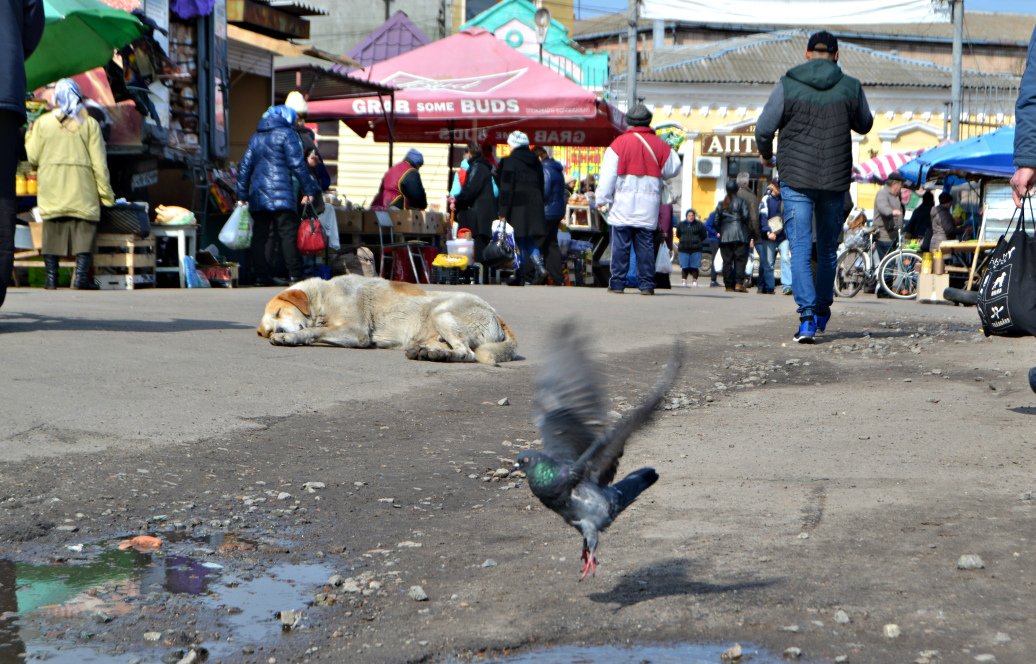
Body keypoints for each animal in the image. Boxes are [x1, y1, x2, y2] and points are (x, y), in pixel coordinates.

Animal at [259, 277, 518, 364]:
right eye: (268, 330)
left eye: (279, 313)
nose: (276, 330)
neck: (322, 298)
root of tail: (498, 315)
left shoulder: (356, 333)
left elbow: (313, 331)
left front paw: (290, 337)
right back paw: (430, 353)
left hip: (442, 313)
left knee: (467, 353)